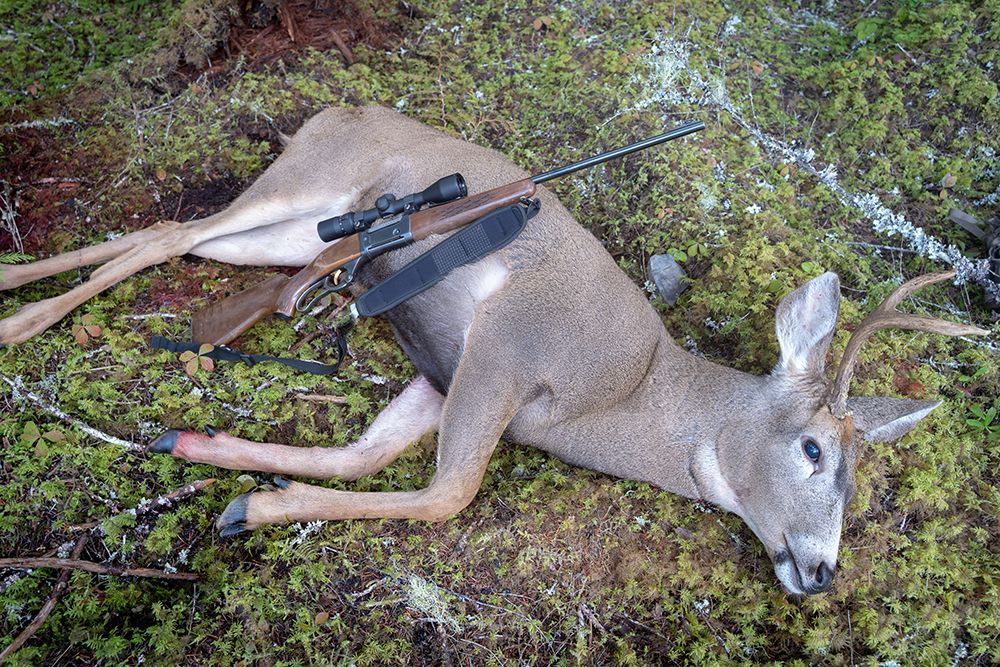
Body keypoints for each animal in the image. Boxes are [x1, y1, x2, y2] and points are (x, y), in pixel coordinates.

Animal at [0, 106, 988, 595]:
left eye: (863, 479)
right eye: (814, 447)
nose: (820, 573)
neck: (628, 392)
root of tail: (336, 105)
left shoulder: (442, 375)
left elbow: (368, 451)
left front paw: (210, 458)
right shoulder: (509, 343)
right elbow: (448, 493)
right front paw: (253, 508)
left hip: (290, 235)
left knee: (167, 235)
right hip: (307, 185)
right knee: (174, 237)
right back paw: (20, 322)